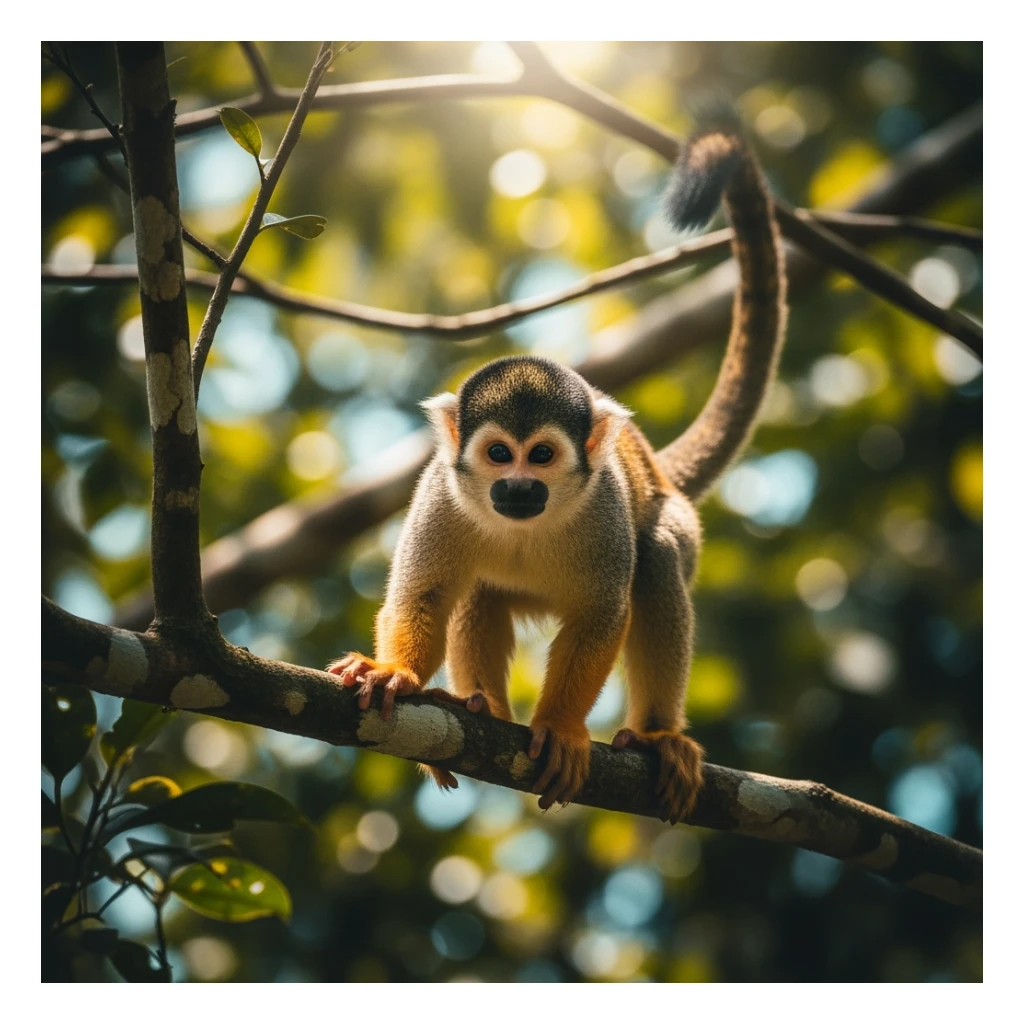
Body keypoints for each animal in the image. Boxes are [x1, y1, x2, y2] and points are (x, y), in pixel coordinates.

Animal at [329, 110, 786, 824]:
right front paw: (397, 675)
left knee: (657, 557)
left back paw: (658, 735)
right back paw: (477, 705)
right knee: (479, 591)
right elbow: (424, 592)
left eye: (541, 455)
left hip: (675, 523)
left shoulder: (603, 511)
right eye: (498, 454)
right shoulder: (441, 494)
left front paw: (564, 729)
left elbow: (604, 613)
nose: (518, 486)